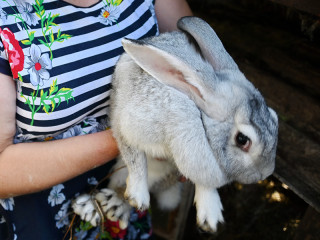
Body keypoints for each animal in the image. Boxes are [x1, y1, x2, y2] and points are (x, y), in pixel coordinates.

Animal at [72, 15, 278, 232]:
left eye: (274, 117)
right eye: (242, 140)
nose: (265, 174)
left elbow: (203, 183)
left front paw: (210, 214)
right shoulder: (125, 123)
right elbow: (135, 159)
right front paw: (138, 196)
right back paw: (94, 207)